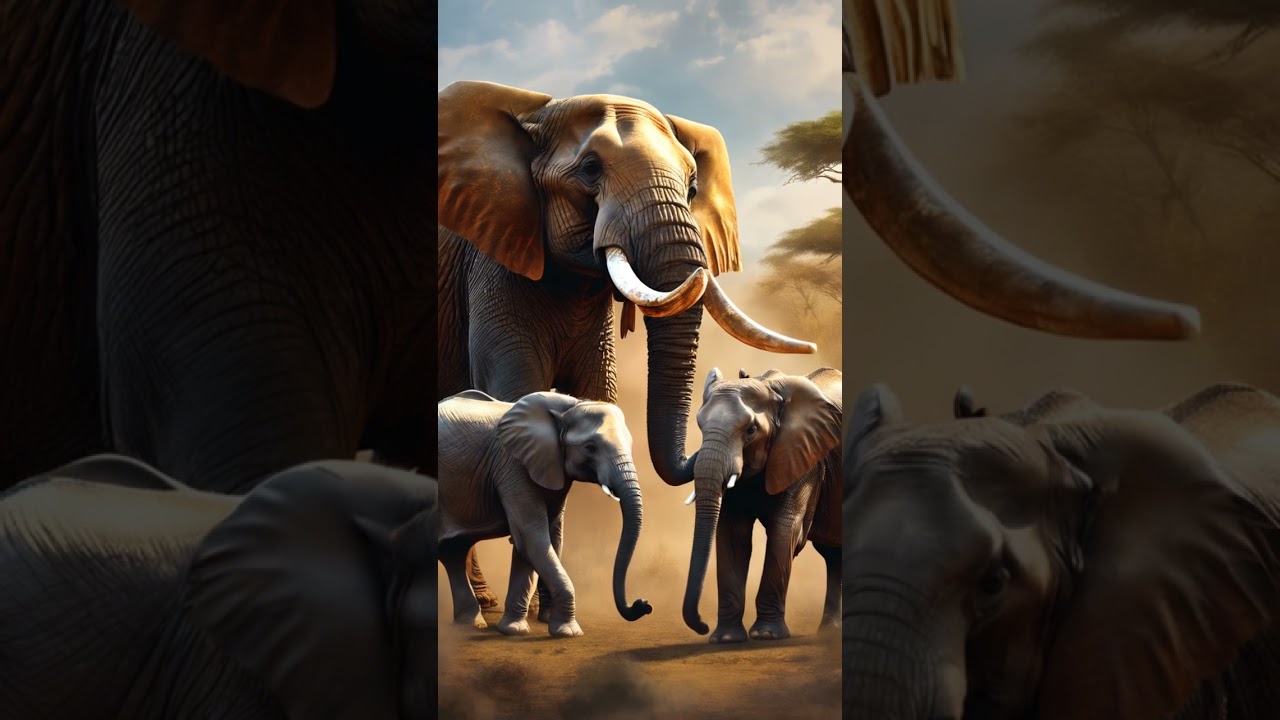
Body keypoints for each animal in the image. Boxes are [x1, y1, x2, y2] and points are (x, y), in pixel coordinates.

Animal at [437, 390, 652, 638]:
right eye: (590, 447)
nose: (643, 604)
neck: (569, 407)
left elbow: (535, 542)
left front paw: (514, 629)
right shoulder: (513, 466)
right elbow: (532, 539)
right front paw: (568, 632)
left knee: (453, 552)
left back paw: (470, 624)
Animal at [681, 367, 842, 644]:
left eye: (751, 430)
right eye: (700, 425)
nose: (701, 624)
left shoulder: (804, 456)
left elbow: (784, 529)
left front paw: (767, 635)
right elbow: (733, 533)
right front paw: (726, 639)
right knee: (833, 556)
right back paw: (830, 632)